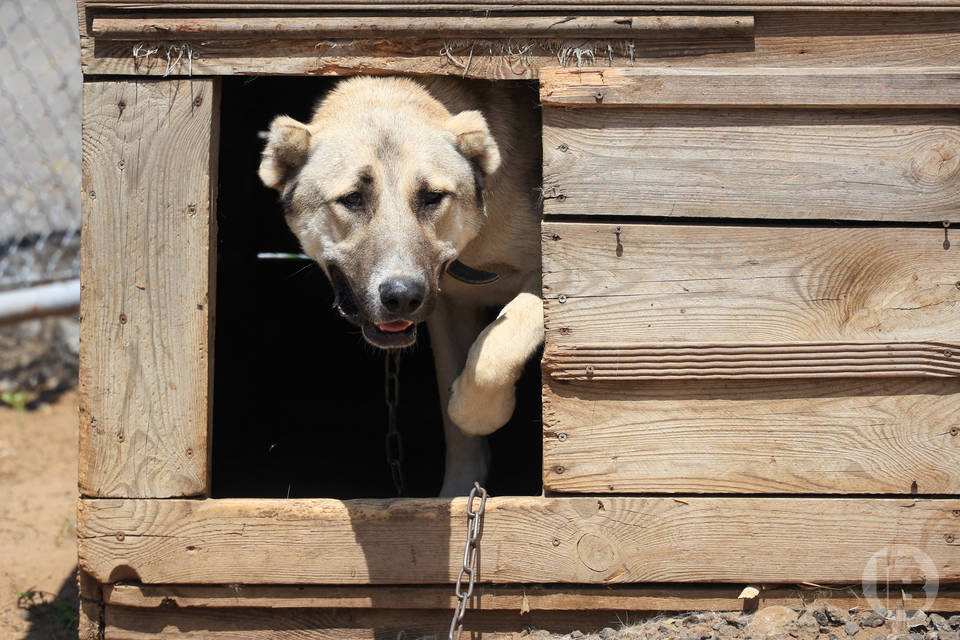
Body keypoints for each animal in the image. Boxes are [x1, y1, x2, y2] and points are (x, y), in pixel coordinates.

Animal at [258, 76, 544, 496]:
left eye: (432, 197)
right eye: (353, 199)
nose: (402, 297)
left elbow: (499, 344)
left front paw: (481, 413)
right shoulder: (449, 311)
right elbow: (457, 421)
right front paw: (457, 491)